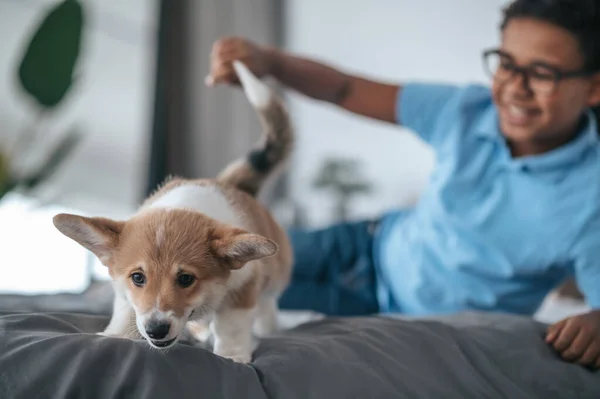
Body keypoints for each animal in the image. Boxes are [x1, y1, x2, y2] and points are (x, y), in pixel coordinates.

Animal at [54, 61, 292, 364]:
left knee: (266, 307)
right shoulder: (125, 294)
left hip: (275, 278)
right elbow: (125, 312)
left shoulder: (244, 286)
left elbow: (232, 325)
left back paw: (266, 328)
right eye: (138, 278)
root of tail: (233, 183)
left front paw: (232, 355)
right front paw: (115, 335)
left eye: (186, 279)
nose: (156, 330)